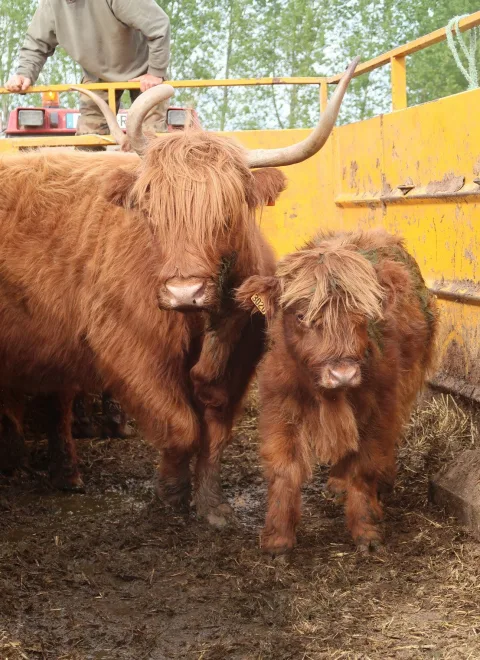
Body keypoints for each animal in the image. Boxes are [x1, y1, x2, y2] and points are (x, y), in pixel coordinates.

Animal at [0, 59, 358, 523]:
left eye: (227, 211)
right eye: (150, 210)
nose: (184, 292)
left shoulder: (242, 349)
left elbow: (216, 425)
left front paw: (211, 502)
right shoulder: (131, 347)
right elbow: (180, 425)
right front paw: (170, 493)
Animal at [236, 228, 438, 552]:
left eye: (364, 313)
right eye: (301, 316)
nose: (343, 374)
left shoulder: (380, 406)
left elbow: (365, 465)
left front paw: (366, 529)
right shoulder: (279, 406)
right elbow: (284, 467)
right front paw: (278, 537)